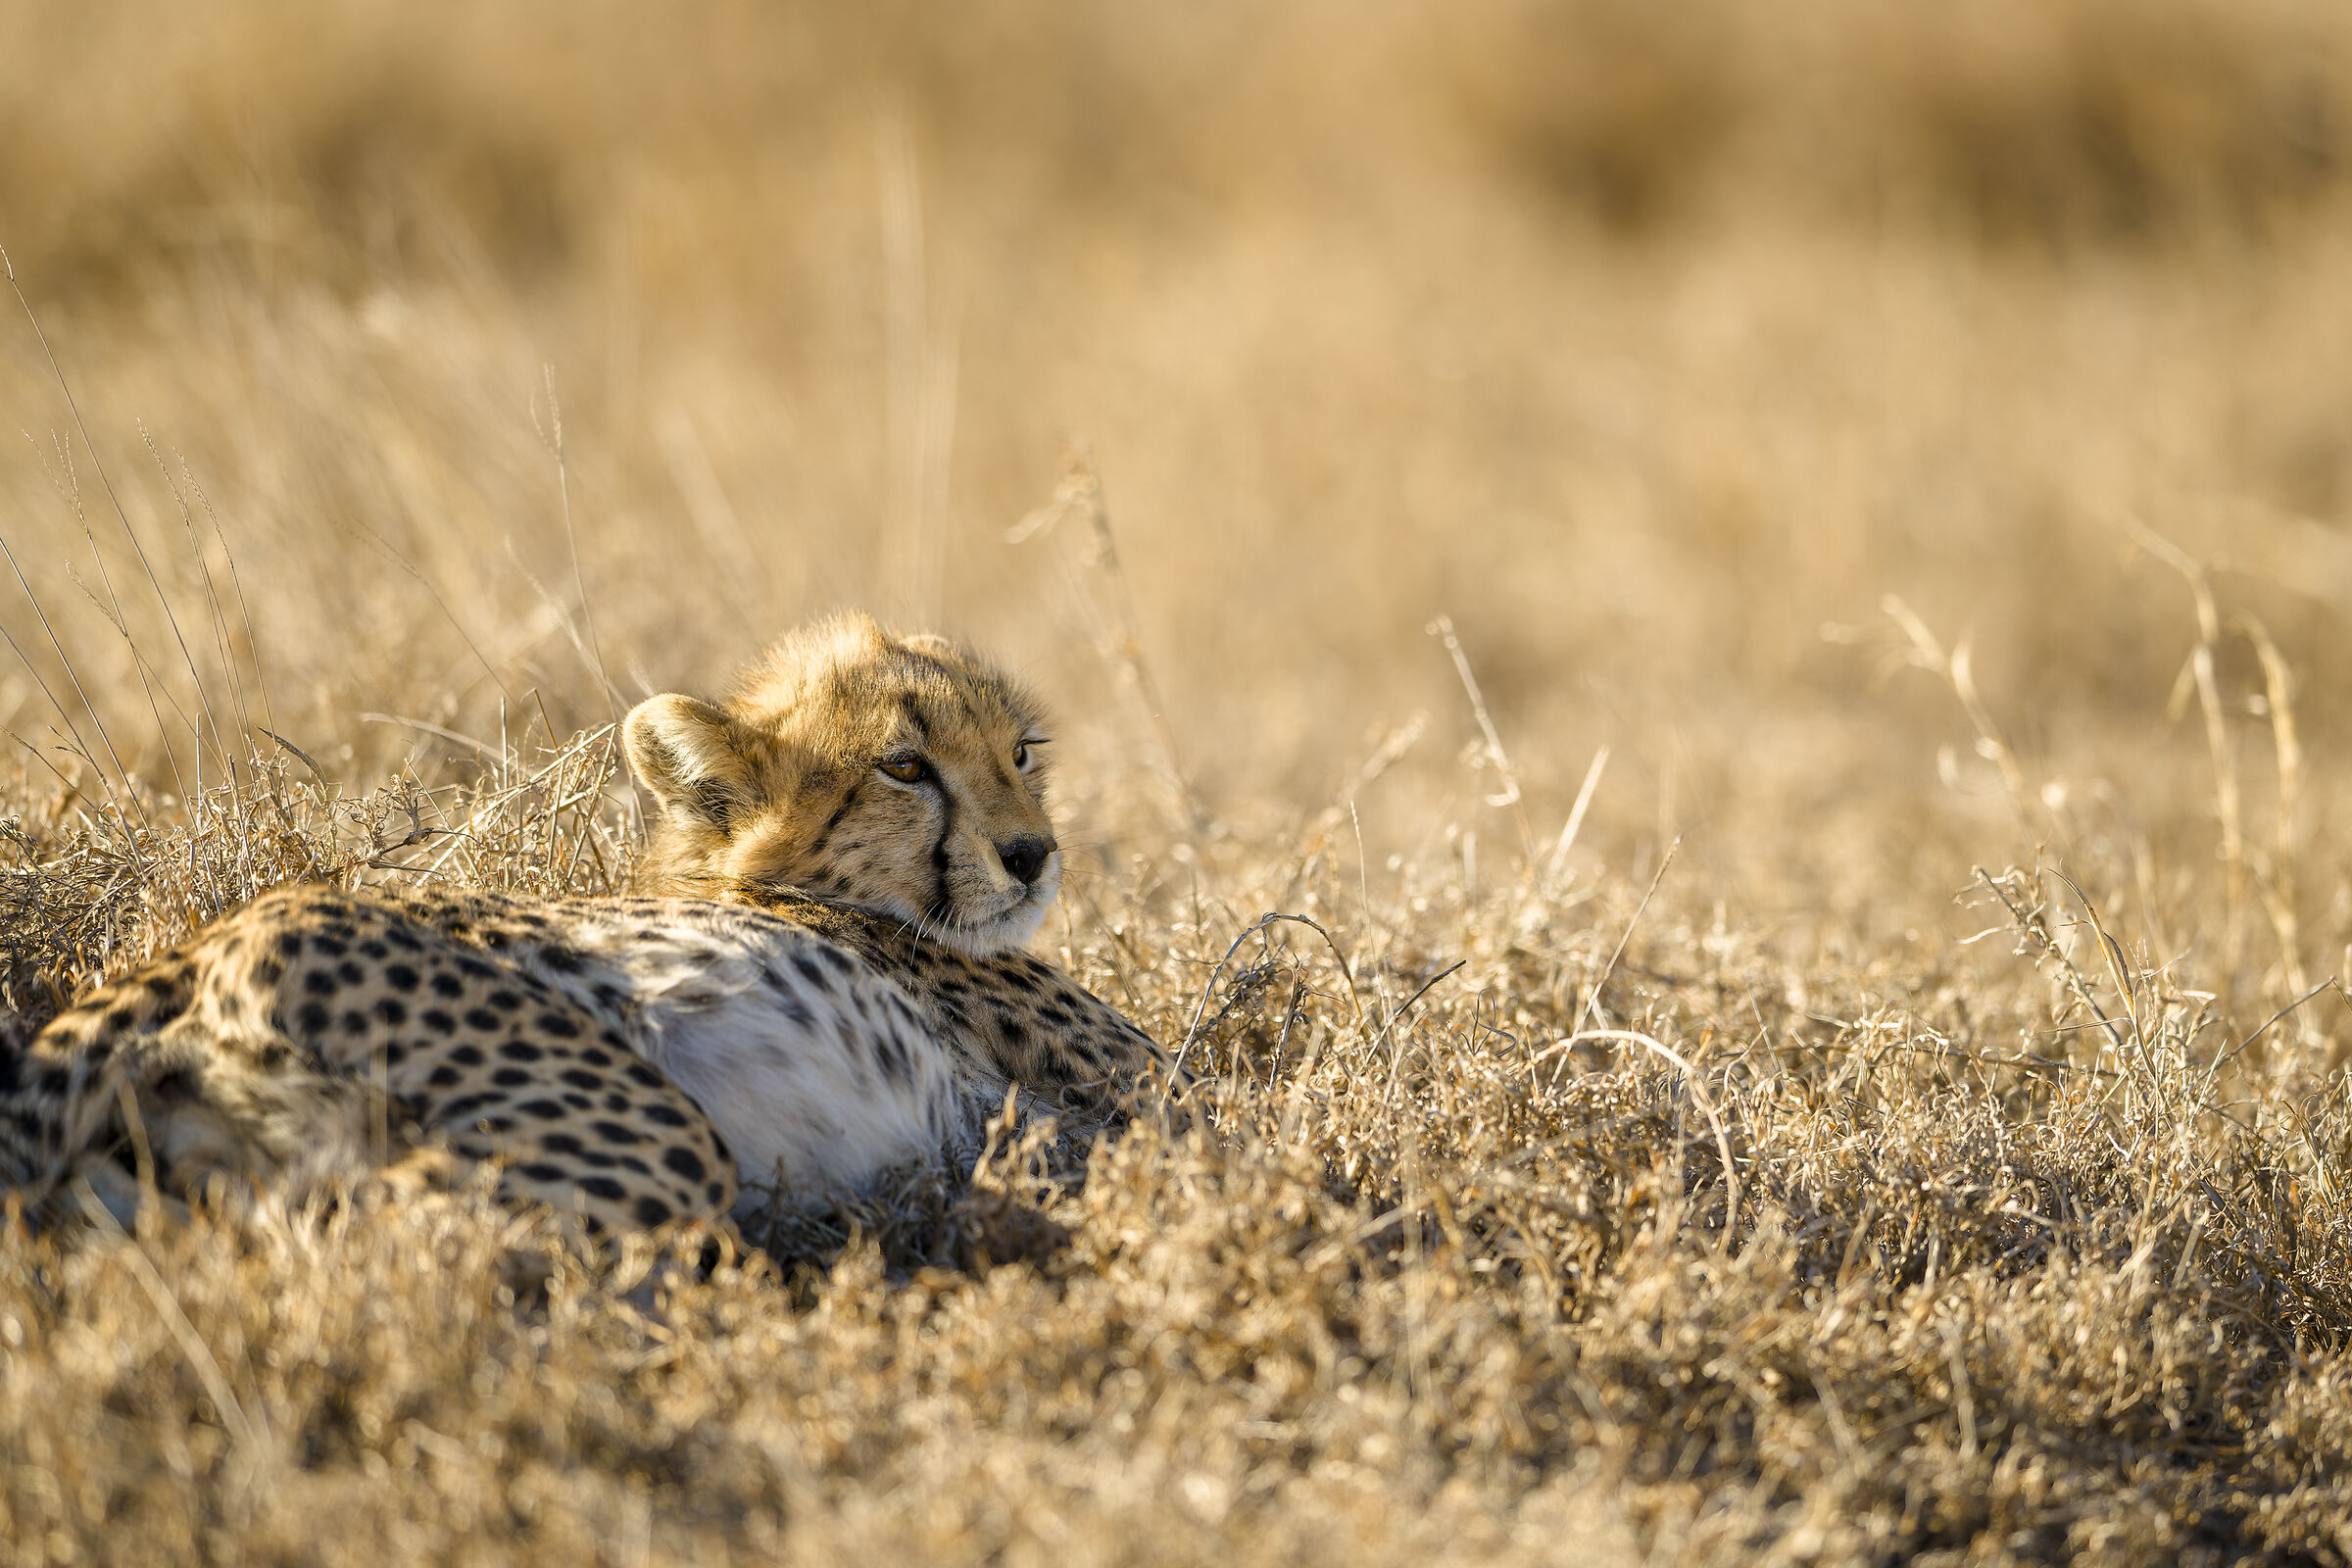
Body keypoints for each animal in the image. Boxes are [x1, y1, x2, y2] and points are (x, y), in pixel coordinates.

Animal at [0, 614, 1164, 1240]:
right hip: (643, 1133)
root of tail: (199, 943)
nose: (1032, 853)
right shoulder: (1162, 1102)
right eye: (906, 767)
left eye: (1021, 752)